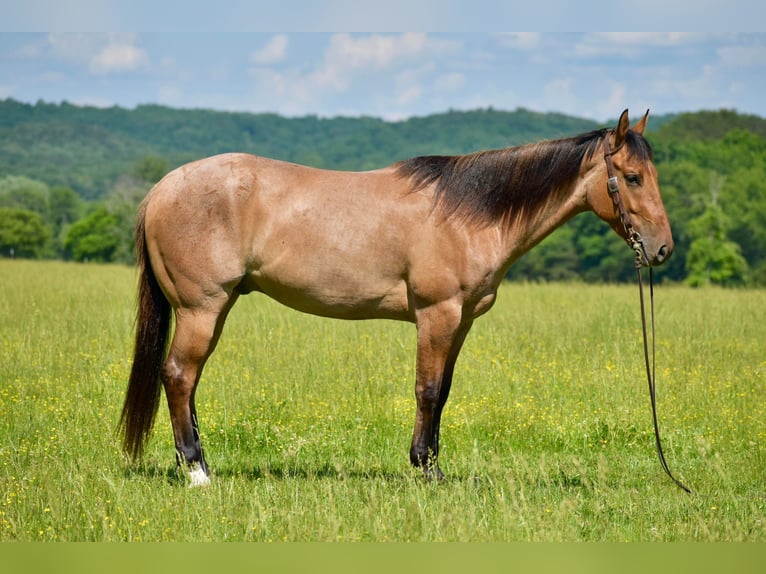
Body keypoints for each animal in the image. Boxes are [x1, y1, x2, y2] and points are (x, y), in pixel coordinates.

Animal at [118, 108, 672, 486]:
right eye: (631, 177)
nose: (662, 248)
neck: (468, 214)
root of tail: (162, 189)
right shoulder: (437, 315)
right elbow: (426, 390)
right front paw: (426, 470)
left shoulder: (461, 322)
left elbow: (443, 393)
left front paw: (432, 464)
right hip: (202, 308)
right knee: (179, 377)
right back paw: (198, 472)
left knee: (185, 381)